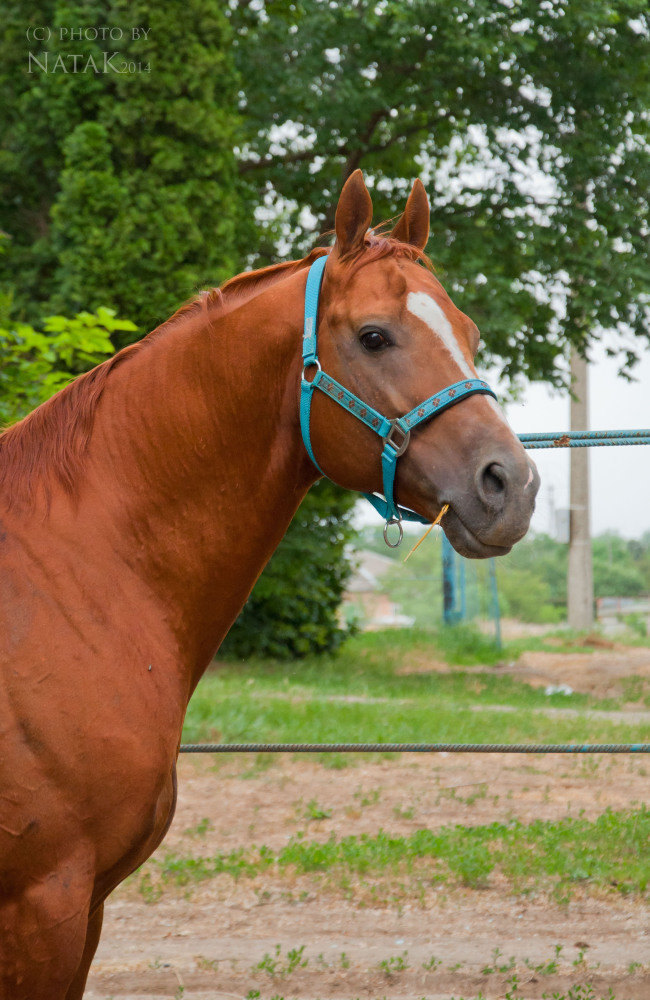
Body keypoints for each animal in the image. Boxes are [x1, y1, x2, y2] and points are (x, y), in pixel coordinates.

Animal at [0, 170, 536, 992]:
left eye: (469, 334)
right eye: (374, 335)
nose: (511, 485)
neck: (66, 580)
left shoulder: (84, 909)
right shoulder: (45, 903)